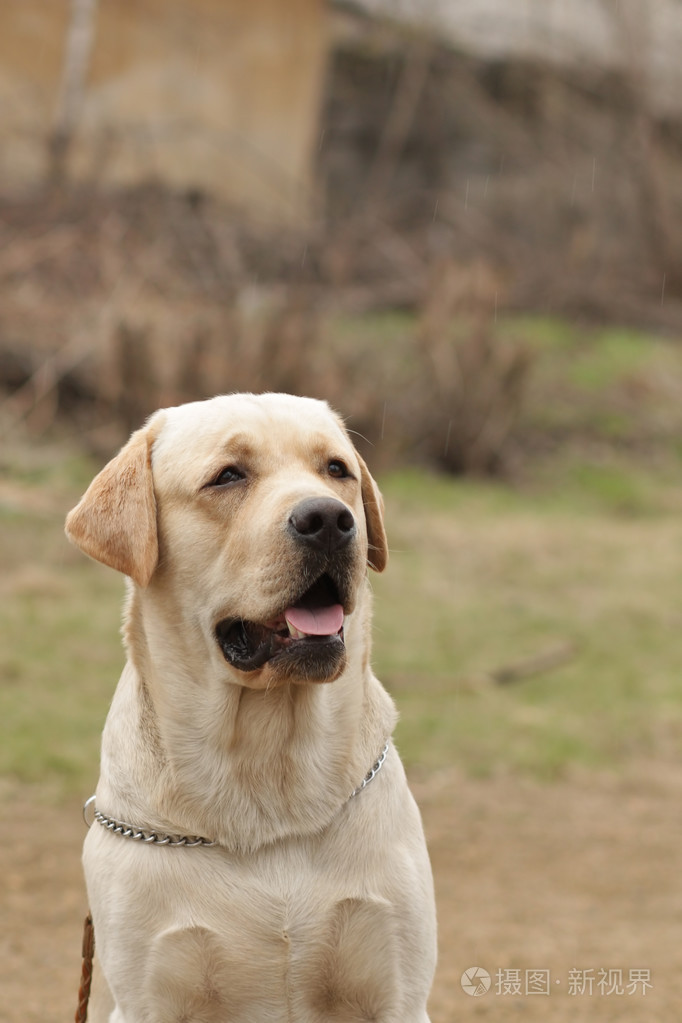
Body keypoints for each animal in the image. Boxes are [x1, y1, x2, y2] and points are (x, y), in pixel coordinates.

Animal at [67, 392, 437, 1023]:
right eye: (227, 476)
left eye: (336, 469)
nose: (329, 520)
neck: (267, 776)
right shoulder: (147, 998)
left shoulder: (398, 992)